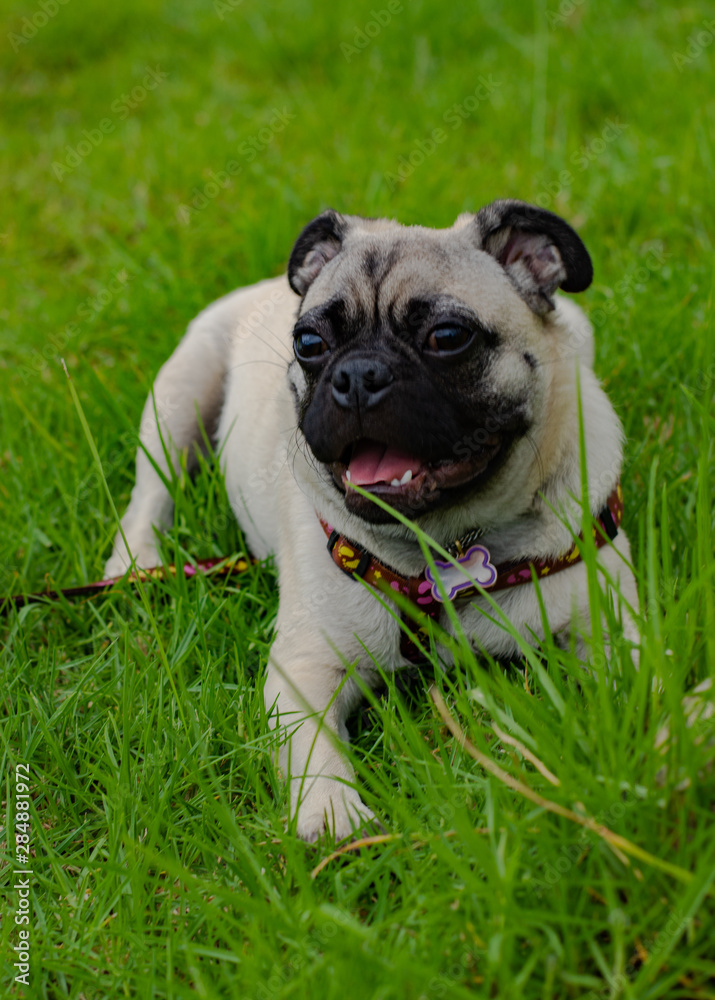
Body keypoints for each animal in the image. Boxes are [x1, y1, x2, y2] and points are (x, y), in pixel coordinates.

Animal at [105, 199, 636, 840]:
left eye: (447, 338)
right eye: (308, 342)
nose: (356, 374)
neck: (441, 550)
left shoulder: (607, 628)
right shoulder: (305, 669)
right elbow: (314, 750)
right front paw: (335, 814)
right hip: (177, 398)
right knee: (150, 493)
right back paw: (136, 564)